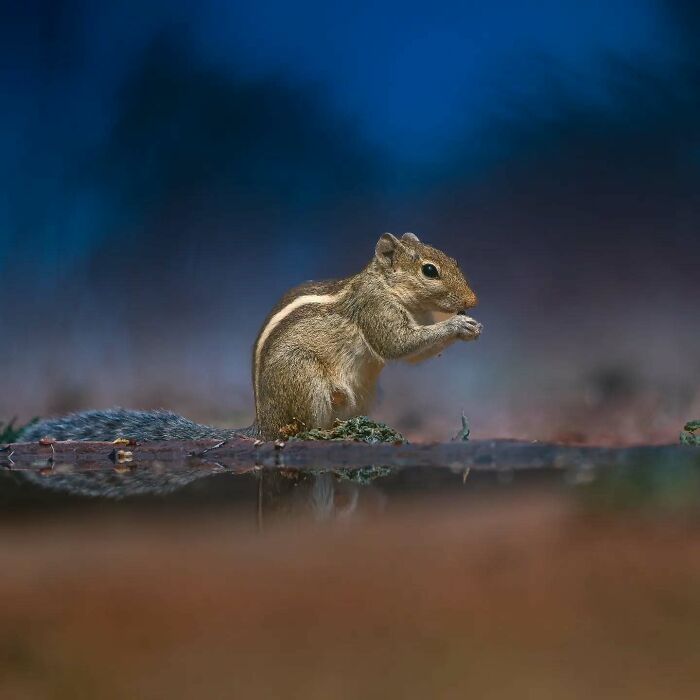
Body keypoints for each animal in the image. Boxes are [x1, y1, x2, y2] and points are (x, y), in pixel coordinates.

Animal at [20, 232, 482, 443]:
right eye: (429, 271)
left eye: (454, 259)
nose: (472, 300)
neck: (386, 285)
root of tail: (261, 424)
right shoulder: (375, 309)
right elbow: (396, 344)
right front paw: (456, 326)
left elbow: (414, 354)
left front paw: (469, 327)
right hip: (304, 380)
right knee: (295, 432)